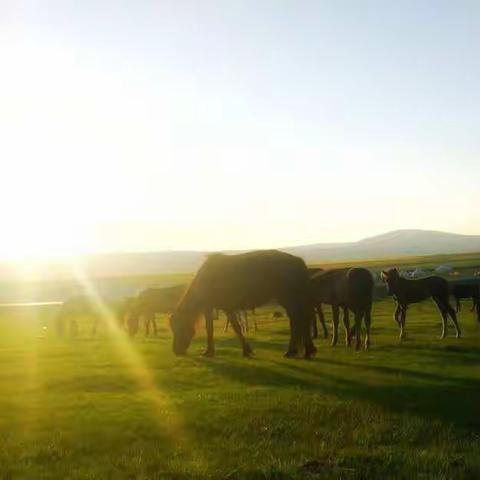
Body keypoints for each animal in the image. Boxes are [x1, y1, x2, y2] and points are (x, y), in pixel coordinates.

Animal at [169, 249, 316, 358]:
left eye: (179, 329)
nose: (177, 351)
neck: (207, 279)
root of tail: (298, 261)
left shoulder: (226, 308)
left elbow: (236, 328)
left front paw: (246, 351)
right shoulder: (212, 308)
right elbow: (211, 329)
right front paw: (209, 351)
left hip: (289, 298)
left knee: (299, 320)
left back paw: (293, 351)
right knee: (301, 320)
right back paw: (307, 351)